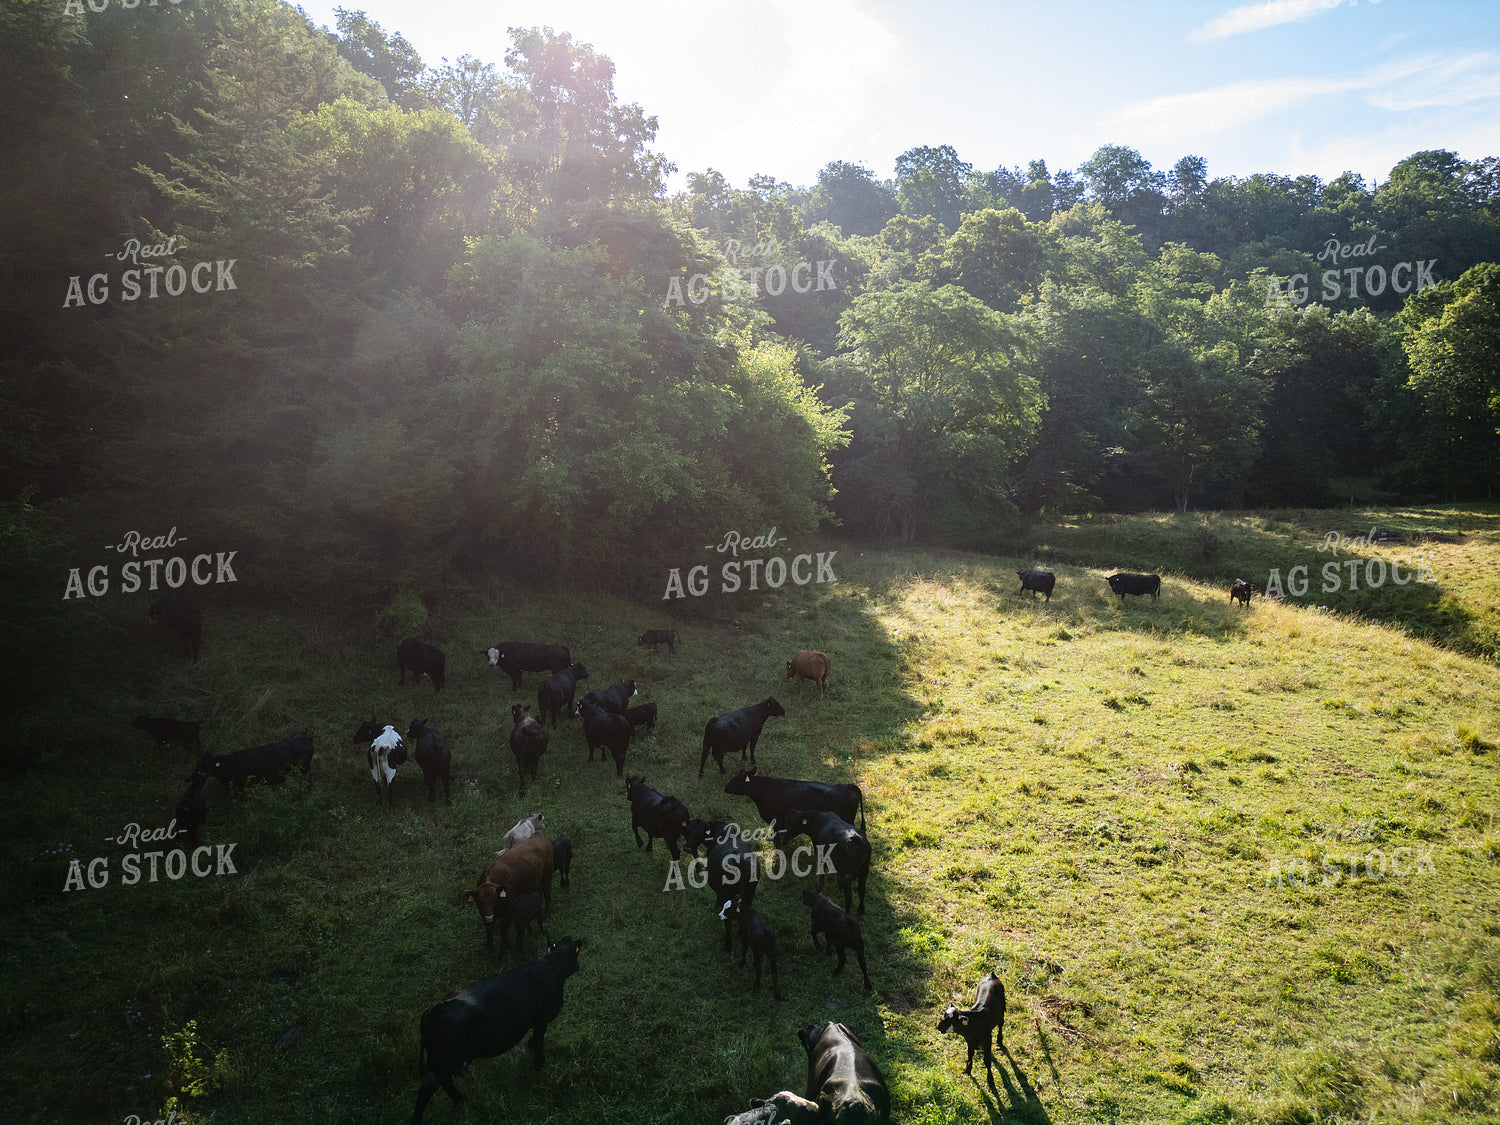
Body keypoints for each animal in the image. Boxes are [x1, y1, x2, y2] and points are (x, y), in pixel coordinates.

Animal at [411, 937, 584, 1125]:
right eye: (576, 951)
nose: (578, 966)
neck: (551, 965)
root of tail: (434, 1009)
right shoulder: (542, 1019)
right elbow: (539, 1040)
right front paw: (539, 1065)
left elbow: (534, 1040)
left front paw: (530, 1049)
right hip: (444, 1062)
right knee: (433, 1086)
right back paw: (461, 1101)